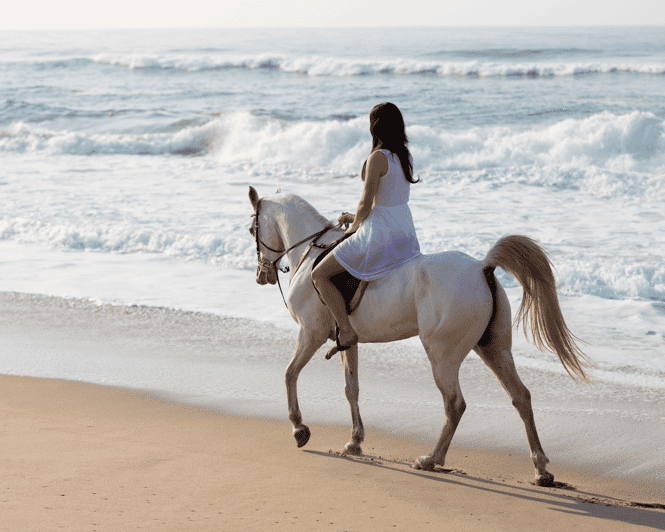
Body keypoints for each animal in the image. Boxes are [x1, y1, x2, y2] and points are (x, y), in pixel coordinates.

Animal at [246, 187, 588, 486]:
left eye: (251, 230)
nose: (261, 276)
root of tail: (482, 266)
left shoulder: (310, 333)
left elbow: (289, 374)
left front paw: (299, 429)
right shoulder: (347, 342)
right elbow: (351, 389)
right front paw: (355, 441)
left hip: (442, 355)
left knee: (455, 404)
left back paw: (431, 459)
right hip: (493, 349)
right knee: (521, 397)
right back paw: (541, 469)